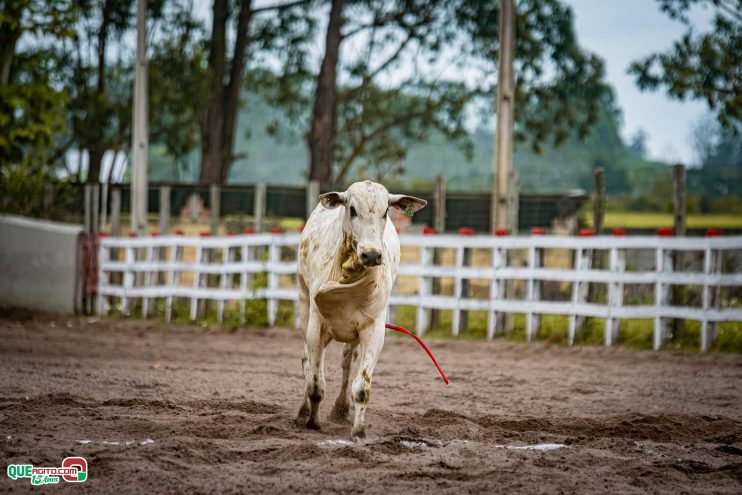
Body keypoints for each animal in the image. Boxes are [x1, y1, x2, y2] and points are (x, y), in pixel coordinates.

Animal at [294, 180, 424, 440]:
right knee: (306, 360)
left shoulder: (373, 329)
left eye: (386, 210)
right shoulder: (316, 325)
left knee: (346, 363)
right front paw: (313, 422)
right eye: (352, 209)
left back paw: (342, 409)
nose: (372, 254)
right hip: (304, 303)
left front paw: (359, 431)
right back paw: (303, 411)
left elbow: (362, 387)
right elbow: (315, 382)